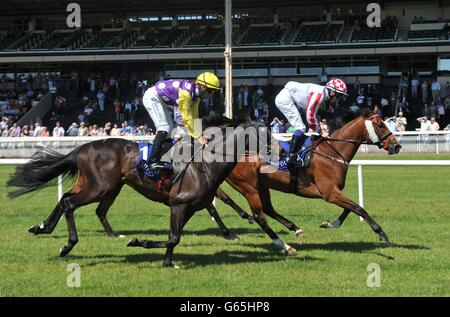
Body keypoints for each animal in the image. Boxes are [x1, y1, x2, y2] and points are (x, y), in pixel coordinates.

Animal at [221, 108, 400, 252]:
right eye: (381, 125)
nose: (397, 146)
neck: (331, 153)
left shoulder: (334, 191)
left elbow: (351, 208)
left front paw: (330, 224)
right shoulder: (329, 193)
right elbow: (359, 208)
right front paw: (382, 235)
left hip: (261, 185)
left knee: (268, 209)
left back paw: (295, 229)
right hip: (248, 187)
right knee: (259, 216)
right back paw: (284, 245)